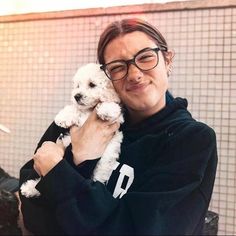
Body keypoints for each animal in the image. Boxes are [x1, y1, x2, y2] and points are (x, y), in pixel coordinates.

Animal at [20, 62, 123, 197]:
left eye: (92, 84)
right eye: (77, 86)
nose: (76, 96)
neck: (89, 110)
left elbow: (110, 104)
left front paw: (106, 110)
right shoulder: (79, 111)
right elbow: (74, 109)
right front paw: (62, 117)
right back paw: (29, 188)